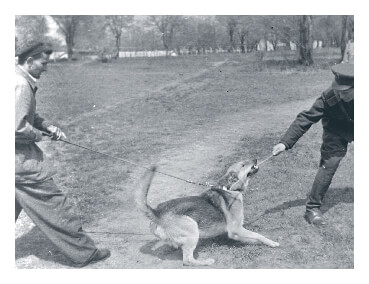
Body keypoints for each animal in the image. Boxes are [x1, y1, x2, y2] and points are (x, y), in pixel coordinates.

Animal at [137, 161, 278, 266]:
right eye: (243, 165)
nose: (255, 160)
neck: (229, 189)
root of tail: (157, 212)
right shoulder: (236, 229)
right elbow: (259, 235)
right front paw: (272, 243)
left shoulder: (235, 233)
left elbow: (252, 238)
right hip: (193, 229)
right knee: (187, 260)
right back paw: (206, 262)